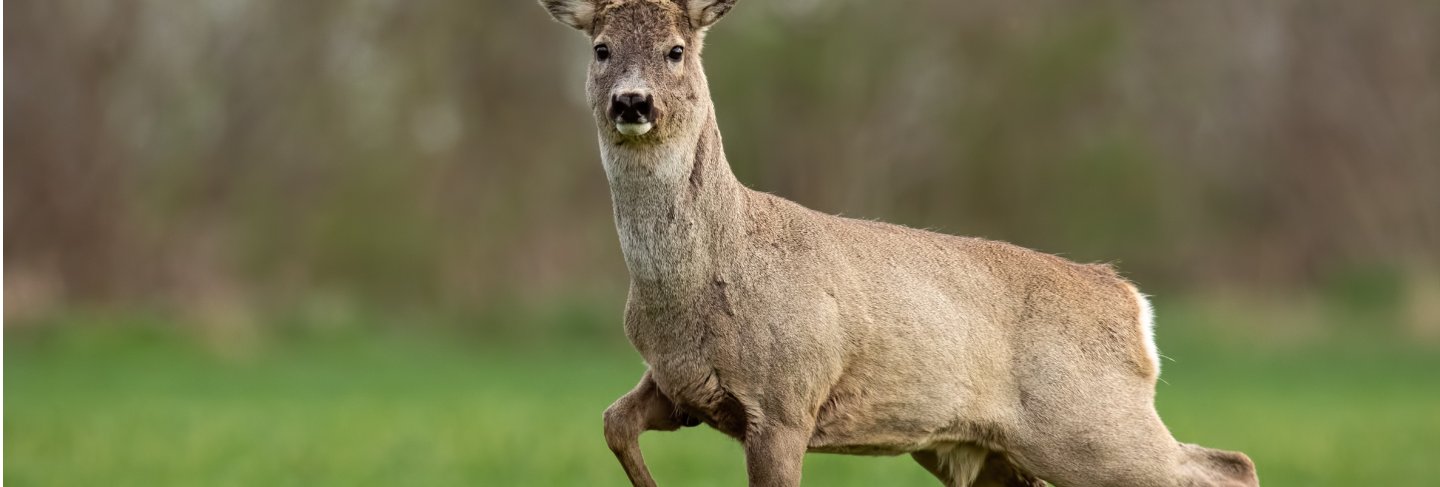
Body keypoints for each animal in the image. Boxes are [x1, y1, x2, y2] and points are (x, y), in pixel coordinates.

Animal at [536, 1, 1259, 486]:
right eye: (601, 48)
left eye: (675, 51)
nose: (633, 103)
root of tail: (1132, 301)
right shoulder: (677, 388)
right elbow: (612, 422)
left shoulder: (788, 398)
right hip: (995, 451)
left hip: (1089, 423)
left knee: (1227, 464)